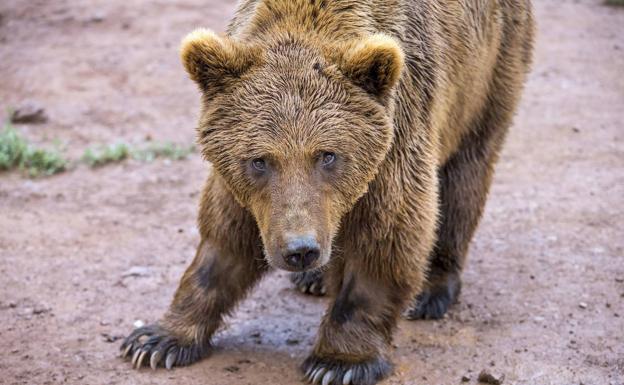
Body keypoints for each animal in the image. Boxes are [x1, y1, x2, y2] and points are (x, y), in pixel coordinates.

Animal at [119, 1, 532, 382]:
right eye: (259, 160)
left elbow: (388, 236)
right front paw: (156, 340)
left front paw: (340, 362)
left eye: (327, 155)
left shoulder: (396, 139)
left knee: (465, 175)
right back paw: (315, 277)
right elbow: (226, 238)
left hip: (487, 73)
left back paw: (432, 288)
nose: (300, 250)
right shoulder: (245, 187)